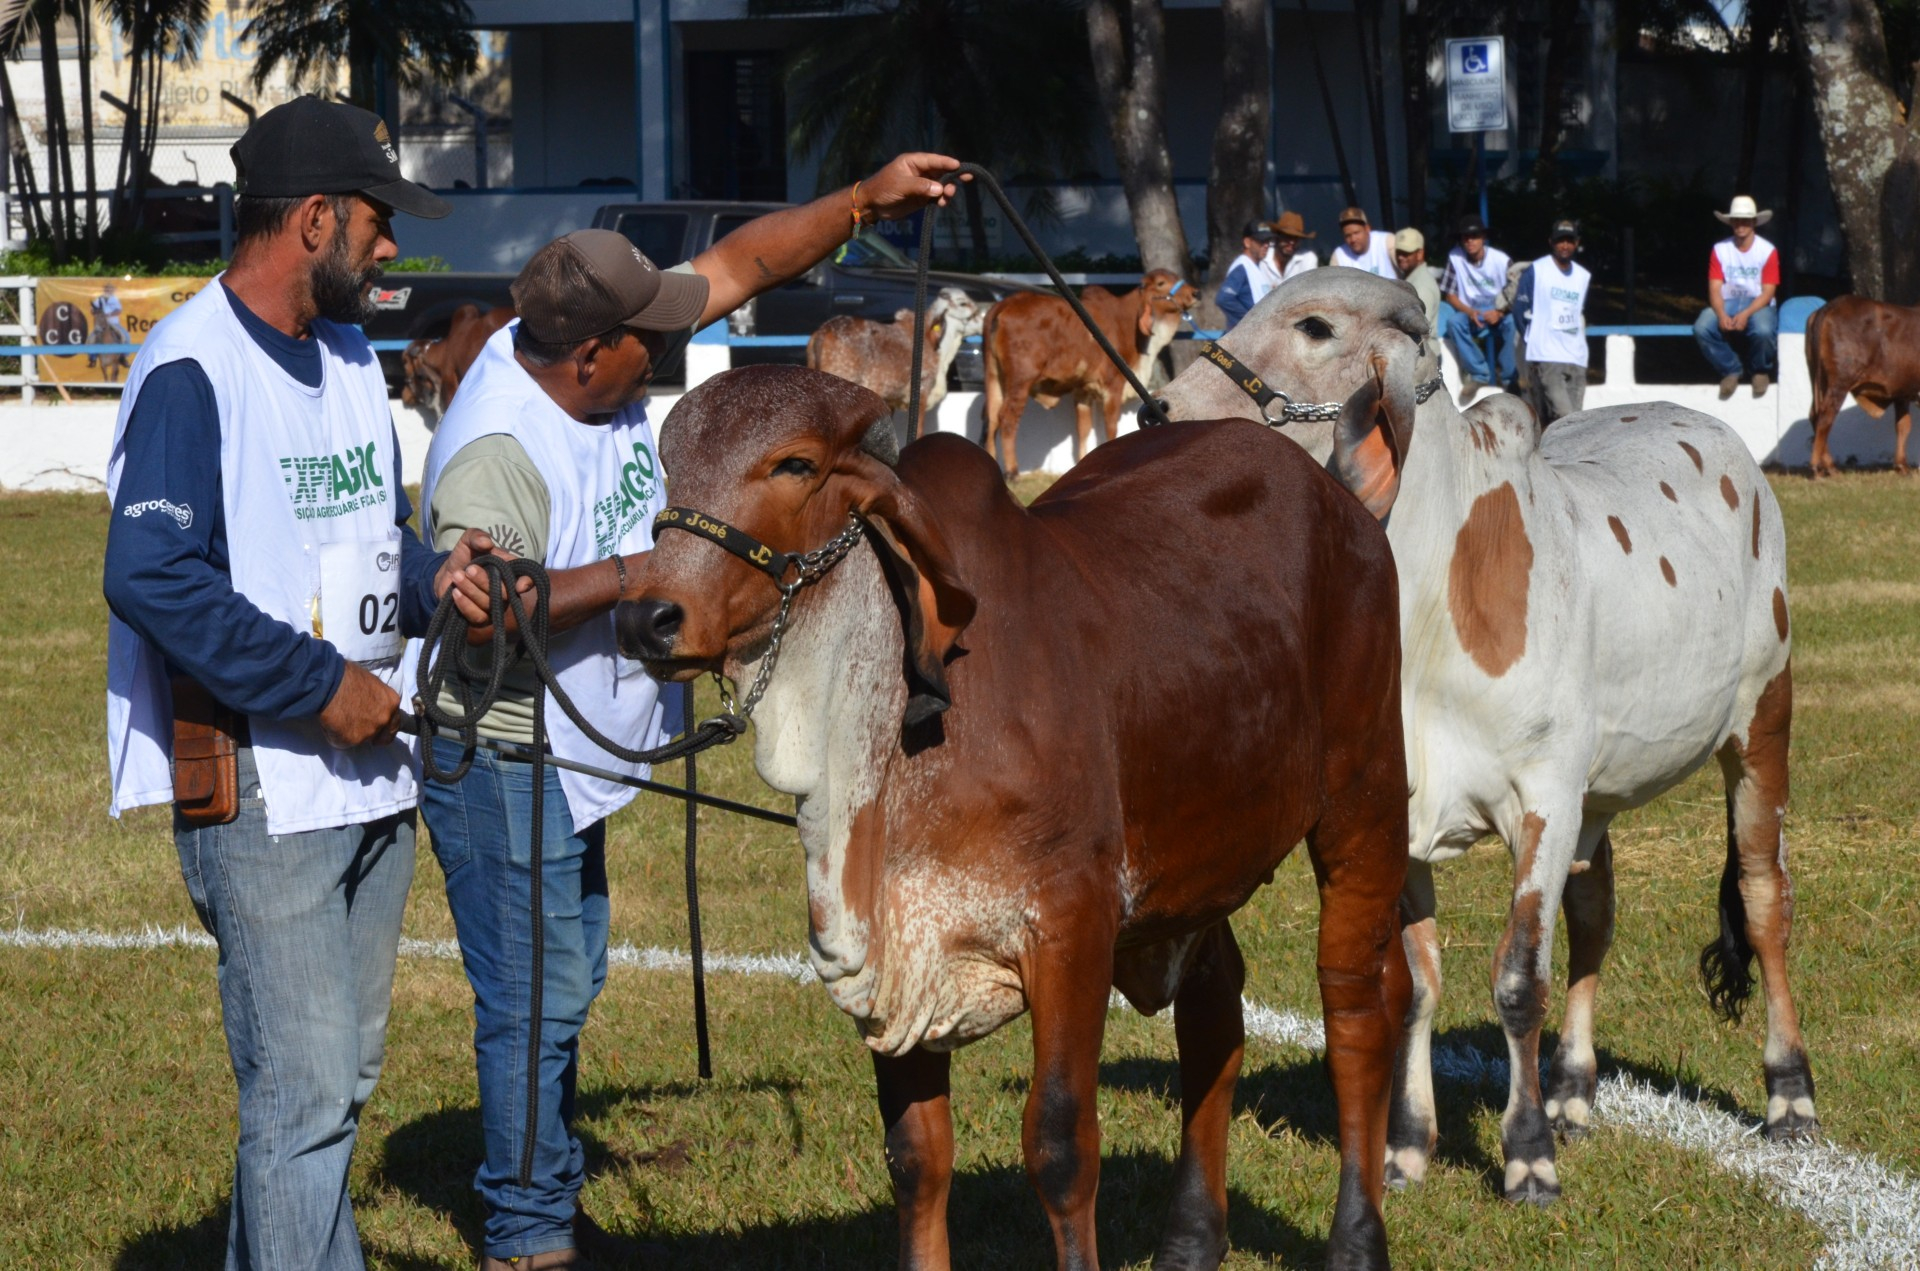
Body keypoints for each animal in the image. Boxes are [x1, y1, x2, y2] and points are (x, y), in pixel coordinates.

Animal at [622, 360, 1420, 1271]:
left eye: (795, 464)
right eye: (670, 465)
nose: (646, 616)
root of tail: (1342, 494)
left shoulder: (1072, 927)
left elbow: (1060, 1142)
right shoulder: (892, 963)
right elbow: (917, 1156)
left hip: (1364, 798)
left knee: (1358, 1008)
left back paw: (1357, 1239)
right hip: (1200, 855)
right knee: (1215, 1009)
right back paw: (1189, 1239)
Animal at [983, 270, 1190, 479]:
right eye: (1161, 283)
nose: (1193, 293)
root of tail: (1005, 304)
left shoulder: (1082, 391)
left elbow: (1083, 429)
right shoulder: (1113, 387)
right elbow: (1111, 428)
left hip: (993, 376)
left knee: (991, 417)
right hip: (1020, 380)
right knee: (1007, 419)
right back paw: (1012, 472)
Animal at [1152, 270, 1812, 1213]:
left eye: (1314, 326)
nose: (1160, 411)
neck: (1427, 600)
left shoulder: (1542, 801)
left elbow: (1517, 979)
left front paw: (1527, 1153)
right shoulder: (1402, 815)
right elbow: (1415, 985)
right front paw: (1408, 1145)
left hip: (1760, 725)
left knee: (1763, 899)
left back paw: (1789, 1091)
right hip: (1599, 795)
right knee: (1595, 912)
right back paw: (1573, 1088)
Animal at [1804, 293, 1912, 478]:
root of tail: (1833, 305)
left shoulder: (1901, 392)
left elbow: (1903, 425)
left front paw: (1902, 465)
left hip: (1818, 380)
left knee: (1814, 415)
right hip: (1839, 382)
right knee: (1825, 416)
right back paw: (1818, 466)